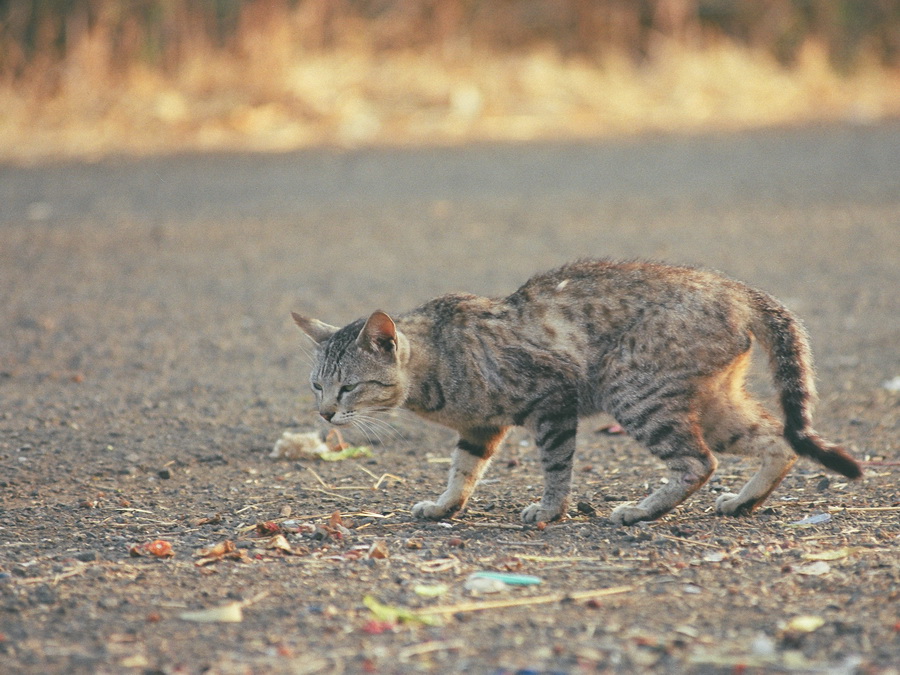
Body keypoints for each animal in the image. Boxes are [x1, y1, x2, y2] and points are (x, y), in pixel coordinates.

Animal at [292, 262, 860, 524]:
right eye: (318, 385)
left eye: (349, 387)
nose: (324, 414)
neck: (437, 368)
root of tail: (736, 288)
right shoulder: (481, 427)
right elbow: (463, 469)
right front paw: (445, 505)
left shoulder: (553, 400)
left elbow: (555, 466)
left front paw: (549, 511)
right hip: (715, 403)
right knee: (778, 441)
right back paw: (745, 501)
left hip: (637, 393)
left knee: (699, 461)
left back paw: (643, 510)